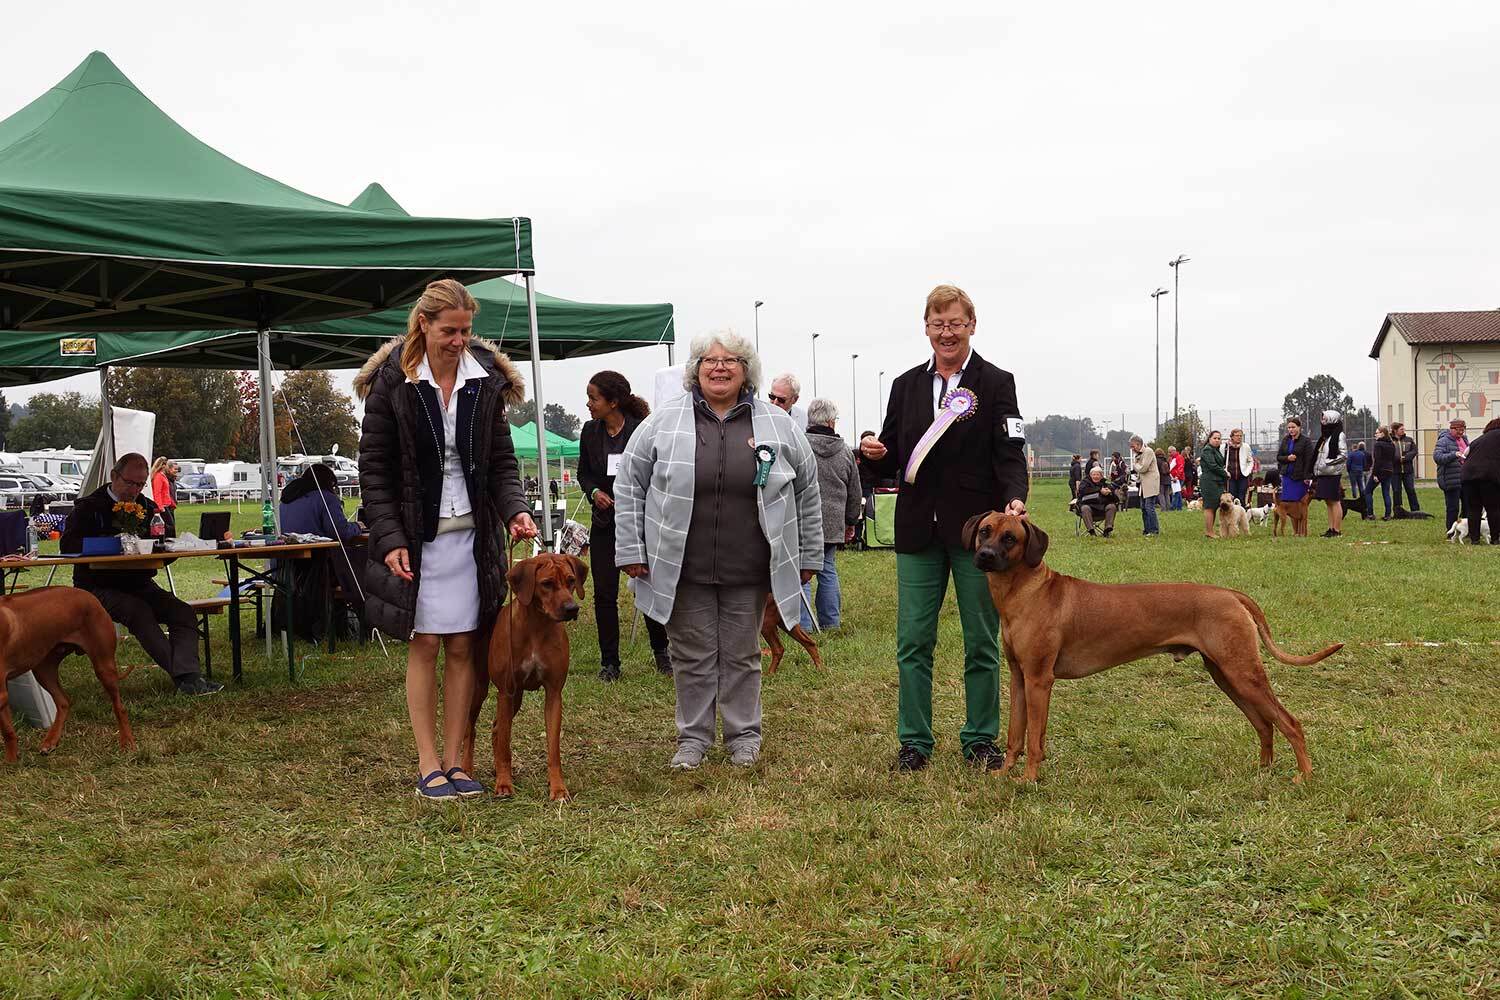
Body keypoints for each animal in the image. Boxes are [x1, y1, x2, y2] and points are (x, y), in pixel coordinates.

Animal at [0, 587, 135, 758]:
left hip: (104, 665)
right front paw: (11, 761)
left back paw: (127, 742)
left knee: (120, 708)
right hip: (43, 669)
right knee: (63, 702)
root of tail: (87, 594)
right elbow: (8, 731)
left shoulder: (0, 694)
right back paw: (50, 741)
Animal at [465, 551, 588, 803]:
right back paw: (466, 770)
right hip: (481, 689)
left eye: (571, 580)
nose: (572, 608)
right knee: (471, 729)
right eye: (546, 584)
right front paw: (504, 785)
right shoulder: (506, 691)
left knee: (496, 728)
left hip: (517, 697)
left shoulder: (554, 693)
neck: (537, 626)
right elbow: (505, 741)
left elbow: (553, 748)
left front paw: (558, 788)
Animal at [966, 512, 1344, 785]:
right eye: (985, 531)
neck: (1025, 591)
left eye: (1010, 538)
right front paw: (1004, 773)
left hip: (1243, 672)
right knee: (1264, 725)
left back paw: (1304, 775)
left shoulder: (1039, 680)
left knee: (1290, 722)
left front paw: (1028, 780)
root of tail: (1230, 593)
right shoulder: (1019, 679)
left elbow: (1034, 739)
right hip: (1226, 674)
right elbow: (1015, 734)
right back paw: (1263, 771)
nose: (983, 556)